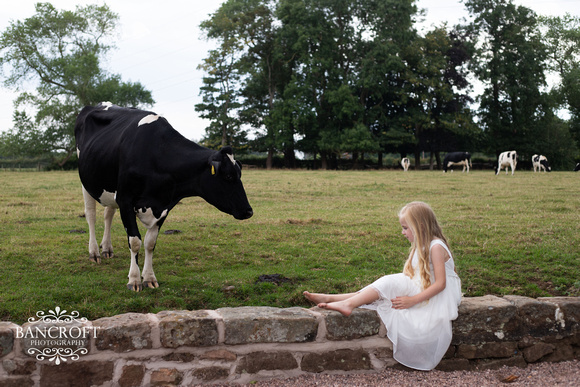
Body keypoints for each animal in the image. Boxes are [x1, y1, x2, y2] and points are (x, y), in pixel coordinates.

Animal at [74, 103, 251, 292]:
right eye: (228, 176)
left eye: (239, 174)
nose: (249, 211)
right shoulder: (125, 199)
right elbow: (135, 241)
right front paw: (134, 279)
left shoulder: (164, 206)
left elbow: (150, 243)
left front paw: (149, 278)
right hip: (86, 182)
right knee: (91, 215)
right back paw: (94, 252)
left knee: (108, 214)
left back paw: (107, 248)